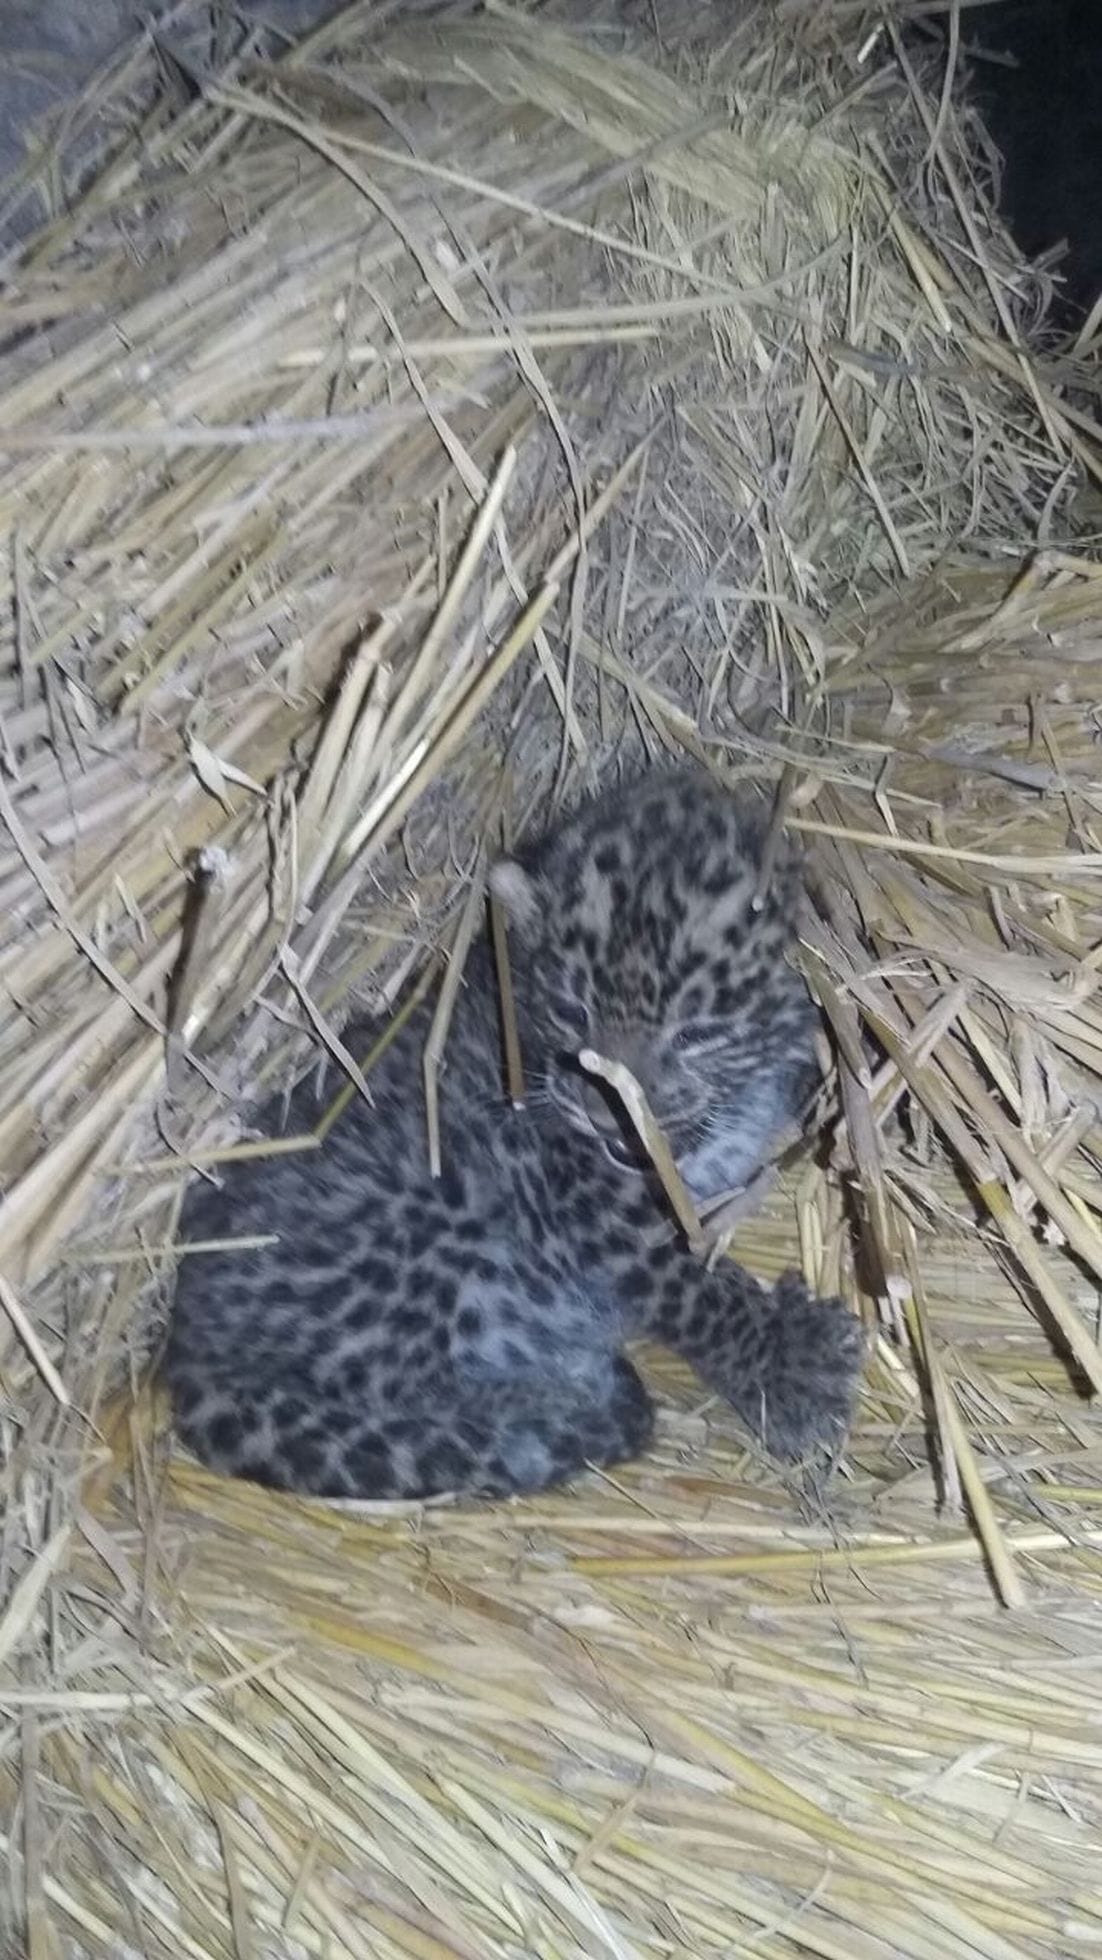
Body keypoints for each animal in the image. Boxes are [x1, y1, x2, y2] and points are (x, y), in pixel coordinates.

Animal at [164, 766, 865, 1500]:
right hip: (428, 1217)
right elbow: (690, 1288)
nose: (605, 1115)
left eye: (695, 1033)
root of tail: (188, 1339)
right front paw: (792, 1363)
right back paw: (573, 1398)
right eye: (573, 1011)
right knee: (414, 1395)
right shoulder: (599, 1216)